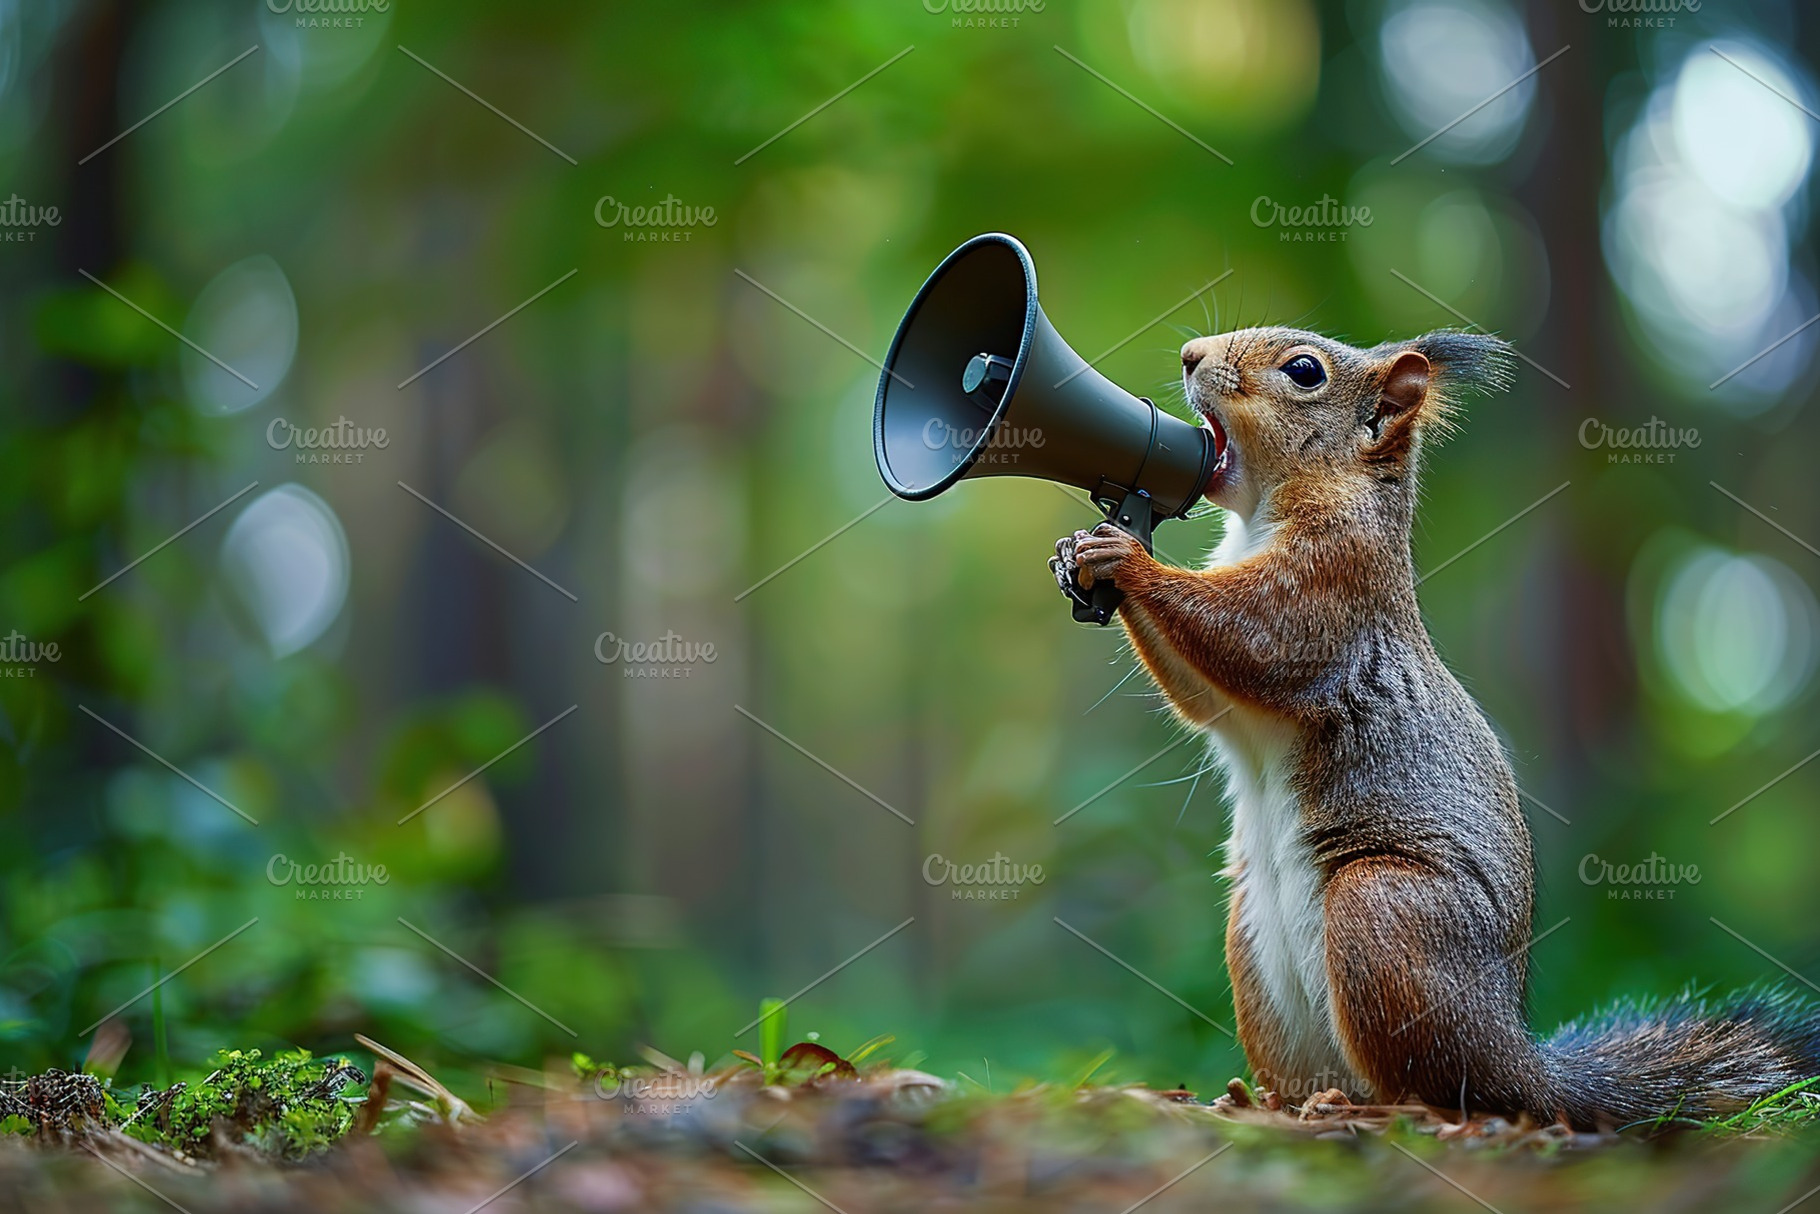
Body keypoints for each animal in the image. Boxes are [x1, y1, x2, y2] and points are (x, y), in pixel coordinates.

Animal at [1050, 326, 1820, 1129]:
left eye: (1304, 372)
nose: (1191, 355)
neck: (1265, 510)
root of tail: (1521, 1061)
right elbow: (1205, 696)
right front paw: (1077, 553)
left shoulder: (1334, 579)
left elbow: (1255, 636)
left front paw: (1127, 558)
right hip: (1252, 939)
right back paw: (1265, 1099)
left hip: (1385, 915)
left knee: (1443, 1088)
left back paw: (1382, 1109)